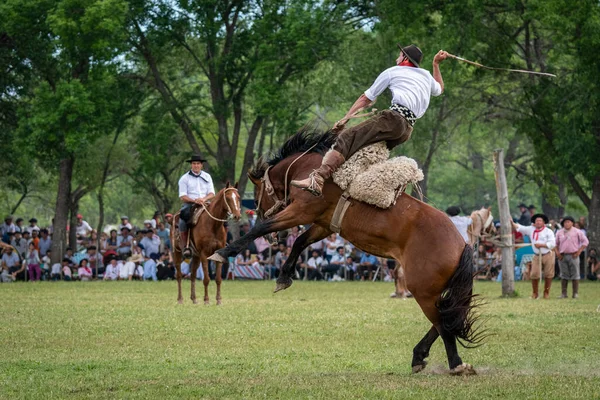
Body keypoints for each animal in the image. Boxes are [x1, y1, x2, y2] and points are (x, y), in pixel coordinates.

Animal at [209, 129, 486, 376]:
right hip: (433, 291)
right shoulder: (323, 223)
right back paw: (419, 356)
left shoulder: (302, 211)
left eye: (257, 197)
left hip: (422, 289)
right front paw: (284, 277)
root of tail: (460, 244)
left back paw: (456, 364)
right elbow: (300, 242)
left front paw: (224, 252)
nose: (274, 240)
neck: (308, 170)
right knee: (444, 320)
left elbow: (263, 229)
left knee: (443, 324)